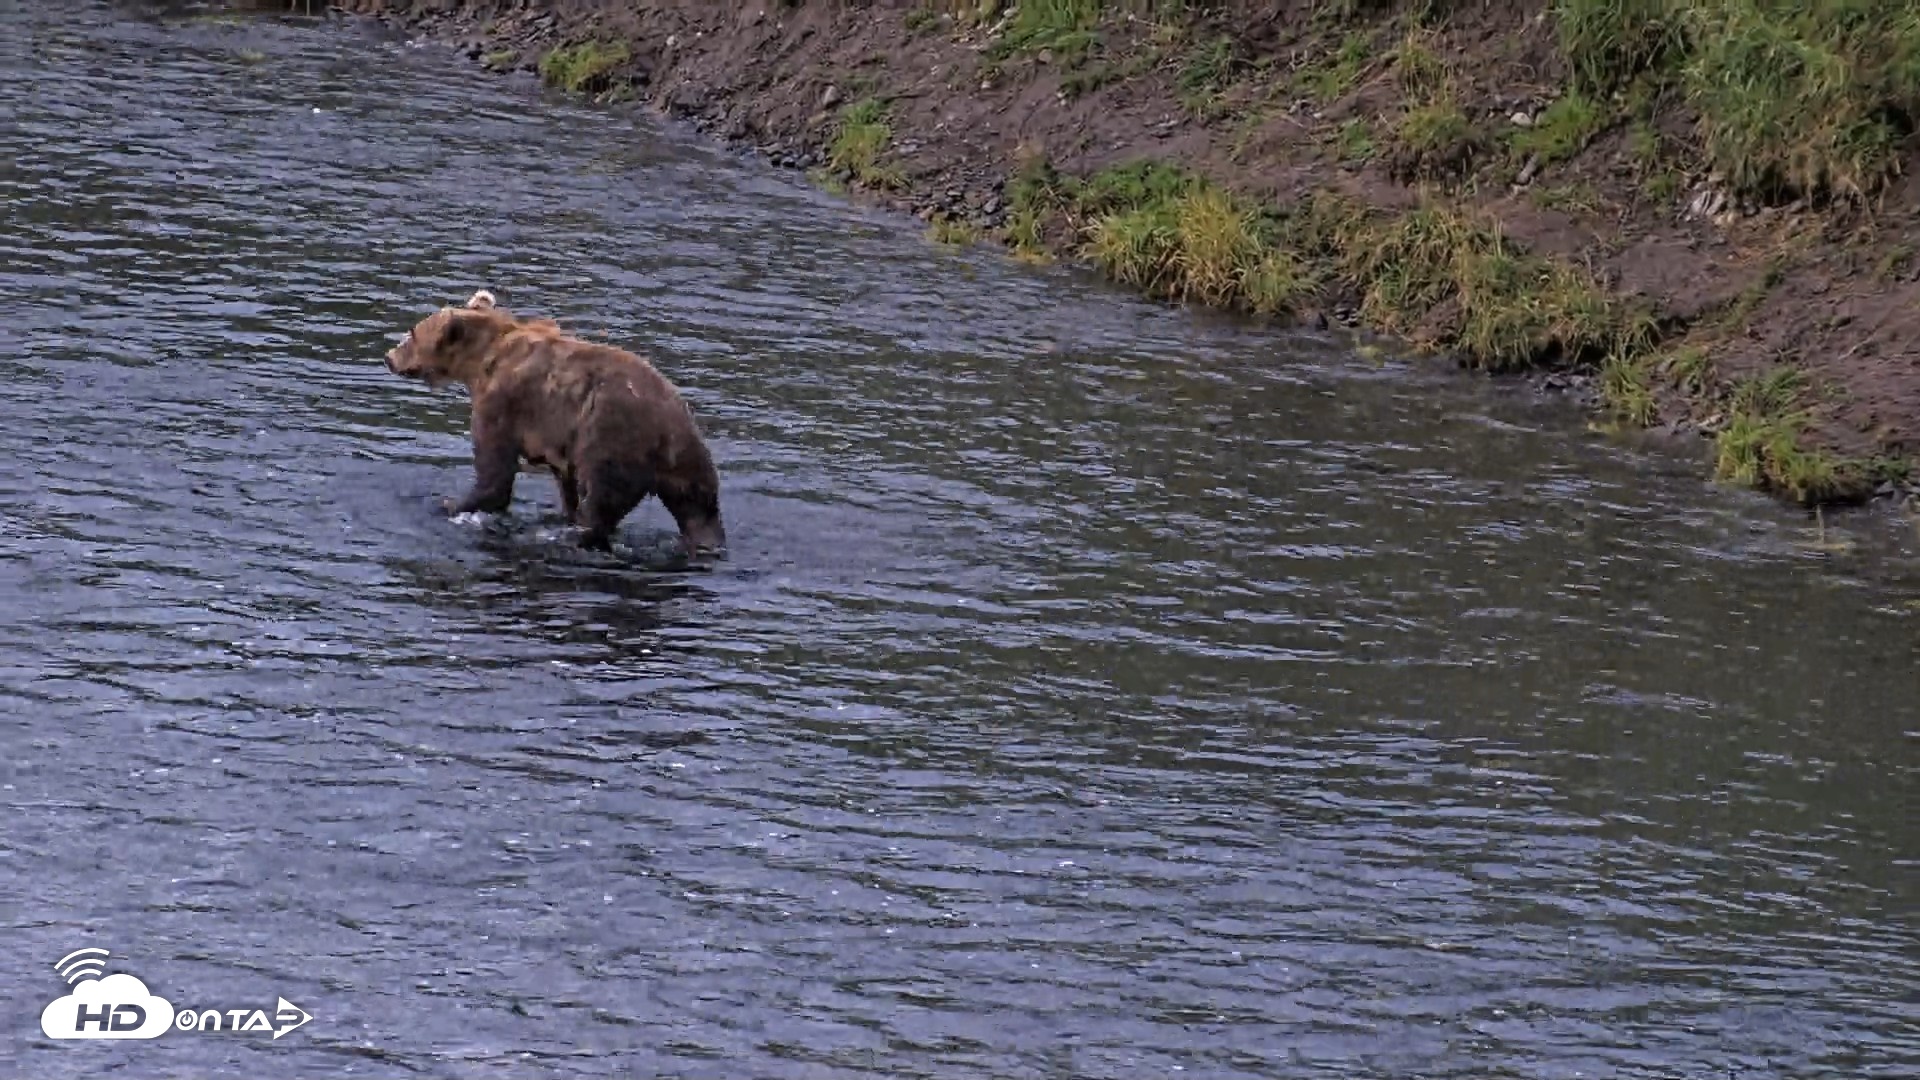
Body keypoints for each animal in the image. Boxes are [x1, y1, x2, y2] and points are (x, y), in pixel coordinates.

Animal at [383, 289, 726, 555]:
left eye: (411, 333)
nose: (388, 357)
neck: (482, 362)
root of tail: (668, 433)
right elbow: (564, 481)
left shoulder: (505, 403)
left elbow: (495, 469)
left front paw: (452, 504)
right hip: (689, 459)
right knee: (699, 509)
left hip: (612, 434)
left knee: (602, 497)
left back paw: (577, 534)